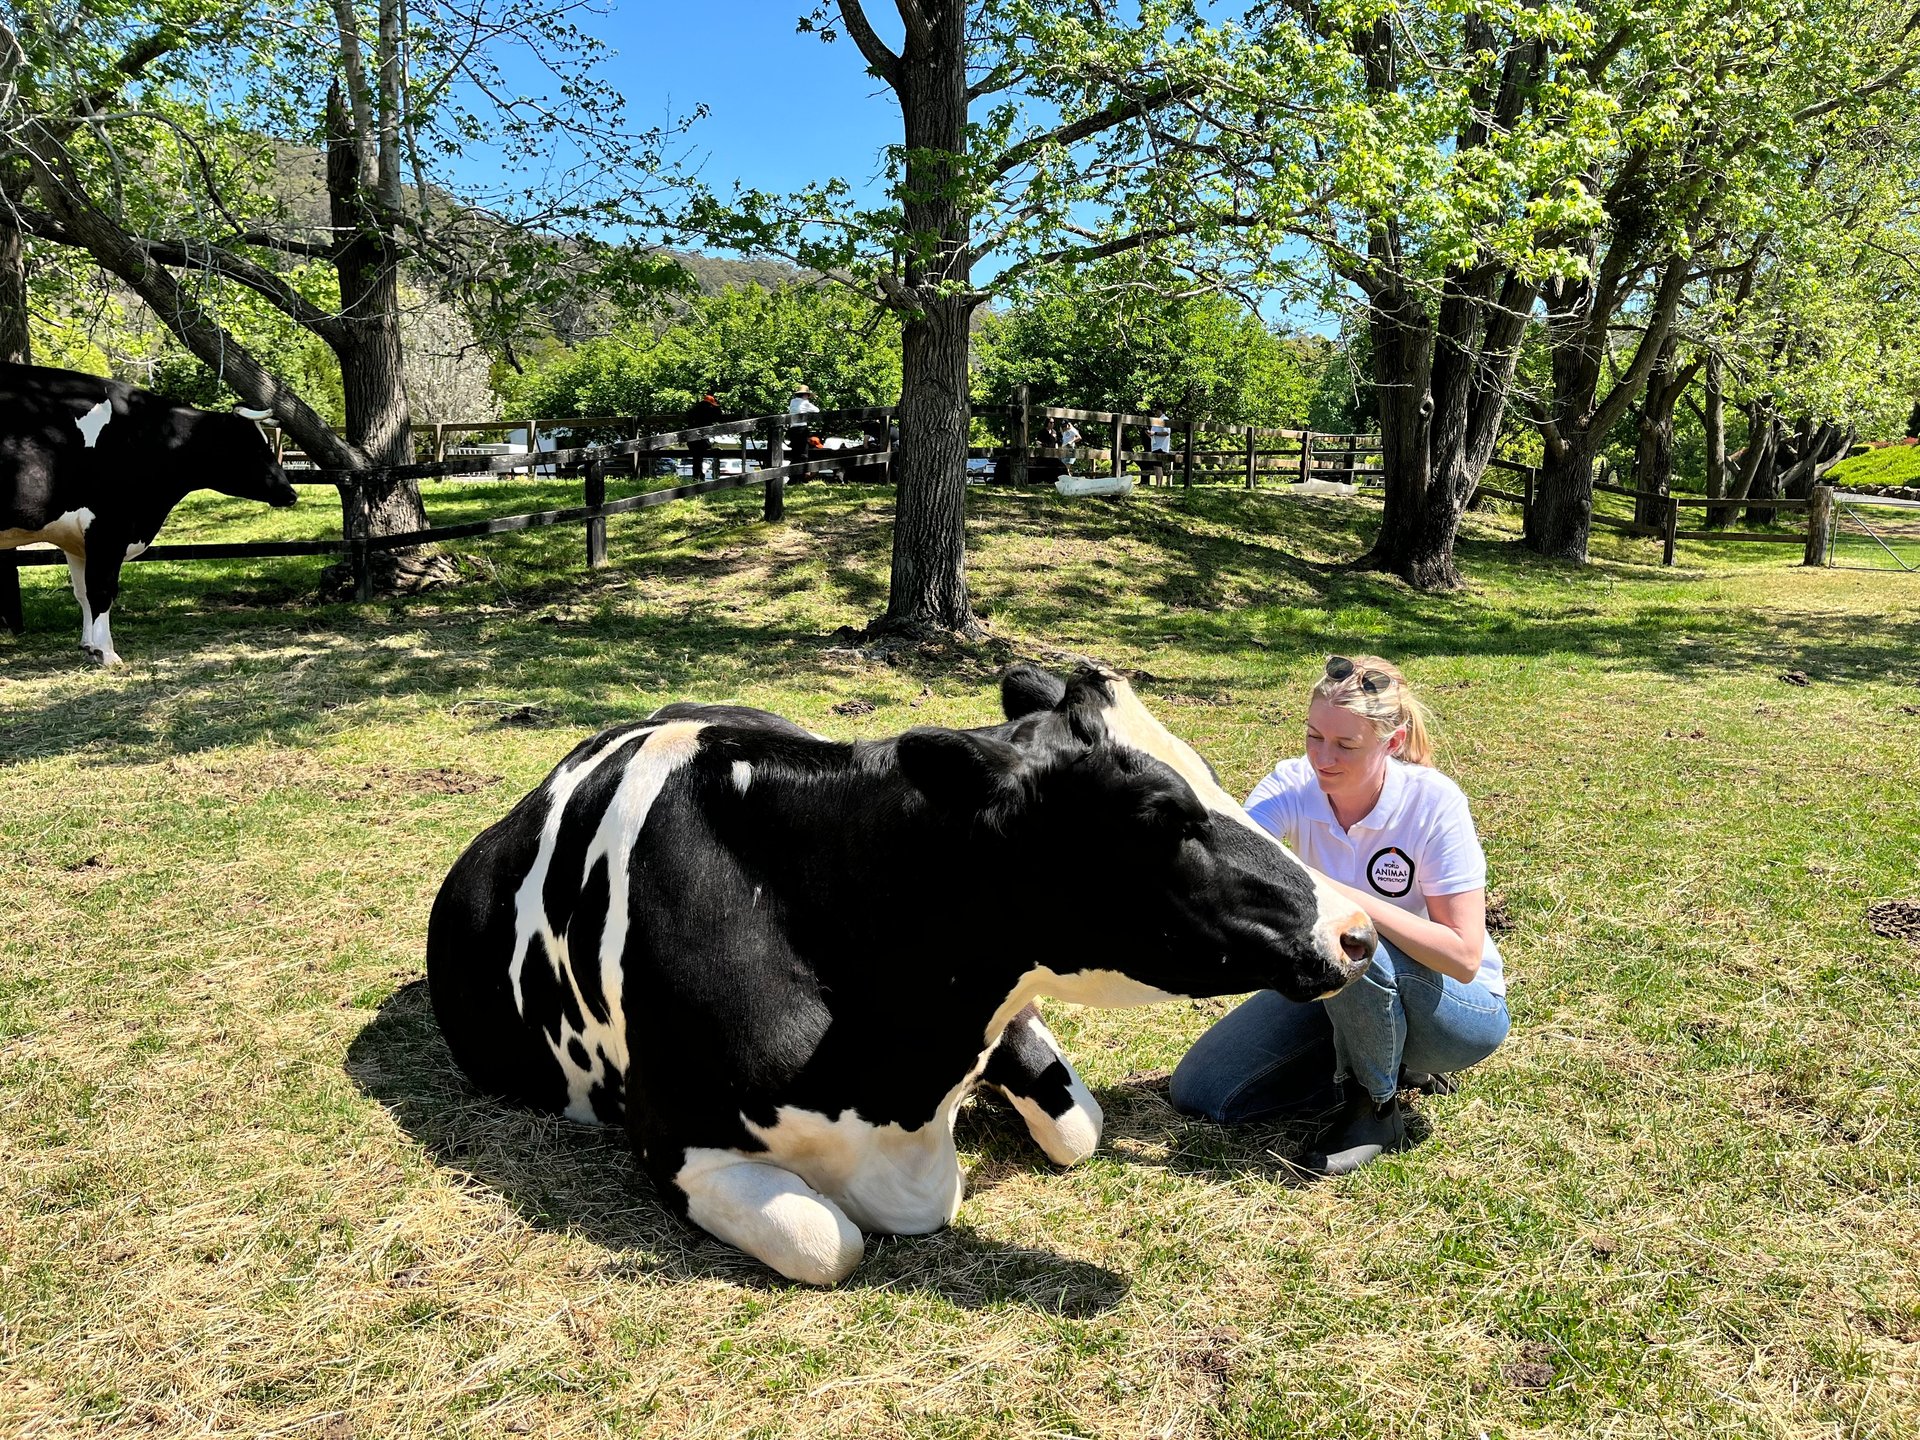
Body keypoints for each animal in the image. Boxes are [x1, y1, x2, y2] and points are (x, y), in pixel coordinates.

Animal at [0, 366, 299, 672]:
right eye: (254, 448)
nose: (290, 493)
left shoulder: (75, 538)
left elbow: (83, 592)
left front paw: (89, 647)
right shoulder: (109, 526)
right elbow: (102, 590)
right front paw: (107, 653)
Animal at [426, 664, 1374, 1282]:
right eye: (1158, 815)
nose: (1358, 931)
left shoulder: (1004, 1013)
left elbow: (1080, 1128)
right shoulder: (674, 1137)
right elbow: (828, 1245)